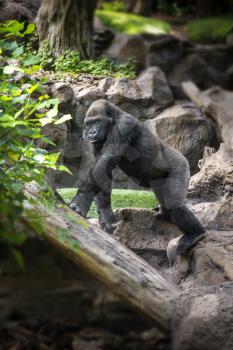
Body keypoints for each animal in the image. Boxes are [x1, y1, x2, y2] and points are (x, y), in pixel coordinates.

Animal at [70, 100, 205, 256]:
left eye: (97, 121)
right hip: (160, 179)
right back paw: (164, 214)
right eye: (89, 123)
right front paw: (106, 216)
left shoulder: (124, 126)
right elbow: (102, 171)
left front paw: (79, 202)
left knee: (176, 205)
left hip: (180, 164)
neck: (114, 118)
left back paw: (195, 234)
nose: (91, 132)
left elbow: (102, 165)